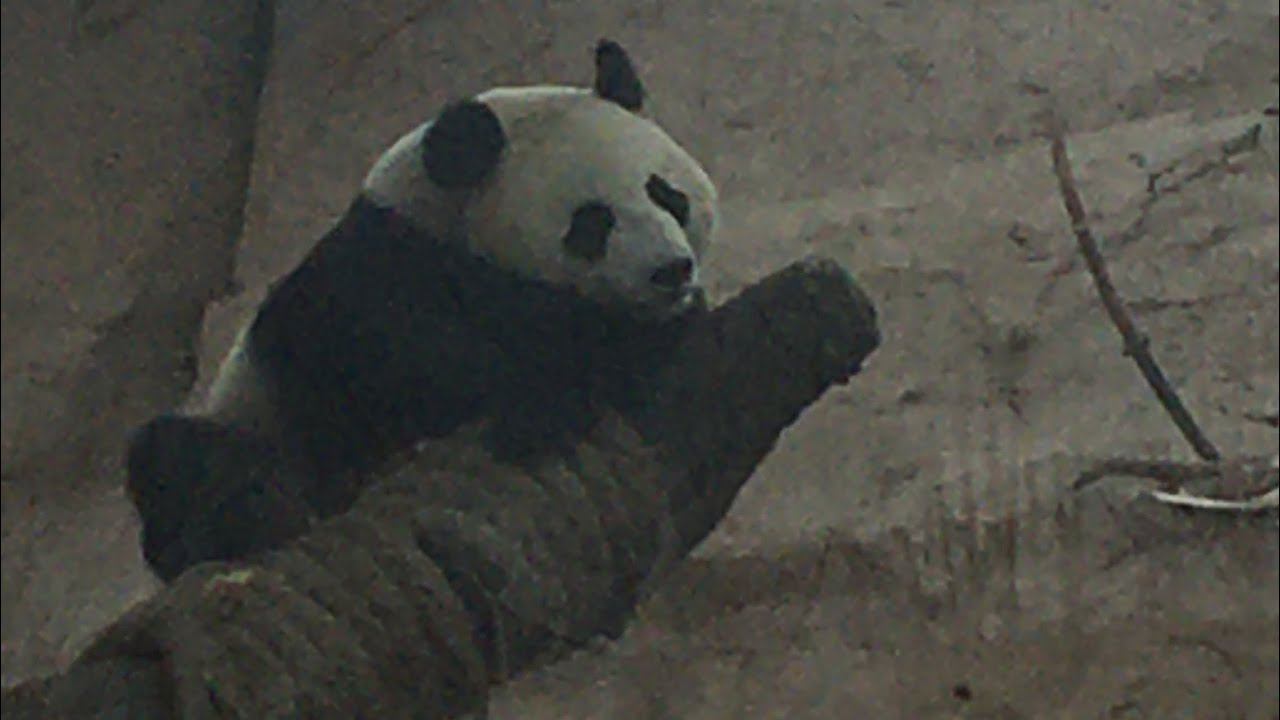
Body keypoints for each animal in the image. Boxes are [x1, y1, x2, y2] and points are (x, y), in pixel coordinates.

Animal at [125, 39, 719, 581]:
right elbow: (405, 351)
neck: (442, 212)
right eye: (593, 223)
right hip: (255, 417)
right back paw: (257, 511)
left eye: (667, 194)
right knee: (180, 460)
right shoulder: (373, 265)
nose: (671, 270)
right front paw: (552, 394)